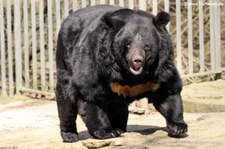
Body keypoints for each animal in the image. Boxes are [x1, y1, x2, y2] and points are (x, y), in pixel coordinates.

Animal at [55, 4, 187, 142]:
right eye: (128, 44)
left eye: (147, 46)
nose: (137, 60)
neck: (133, 75)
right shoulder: (99, 61)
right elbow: (91, 93)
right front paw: (107, 132)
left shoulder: (160, 69)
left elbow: (167, 91)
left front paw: (178, 127)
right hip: (65, 58)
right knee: (66, 98)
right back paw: (70, 135)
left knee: (118, 108)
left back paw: (120, 128)